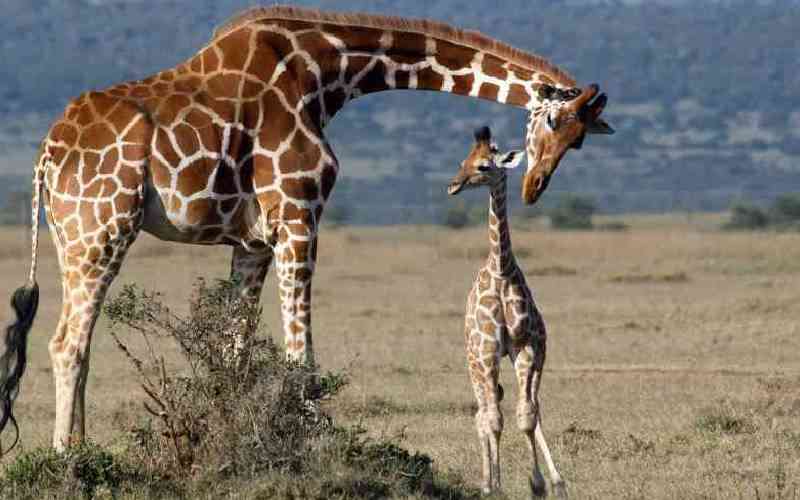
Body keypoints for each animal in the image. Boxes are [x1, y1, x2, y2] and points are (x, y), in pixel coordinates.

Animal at [2, 6, 613, 451]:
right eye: (551, 121)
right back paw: (68, 461)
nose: (535, 186)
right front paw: (311, 449)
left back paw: (82, 450)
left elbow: (234, 354)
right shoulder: (299, 213)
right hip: (103, 228)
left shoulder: (252, 239)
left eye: (579, 141)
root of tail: (46, 156)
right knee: (66, 343)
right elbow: (302, 361)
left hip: (72, 235)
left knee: (76, 343)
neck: (326, 74)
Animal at [448, 126, 564, 497]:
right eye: (463, 160)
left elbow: (526, 415)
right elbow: (494, 420)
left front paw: (540, 483)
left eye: (484, 166)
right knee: (483, 413)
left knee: (525, 409)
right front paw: (496, 485)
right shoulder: (486, 352)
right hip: (474, 361)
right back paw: (487, 482)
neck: (501, 270)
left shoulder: (527, 347)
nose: (453, 185)